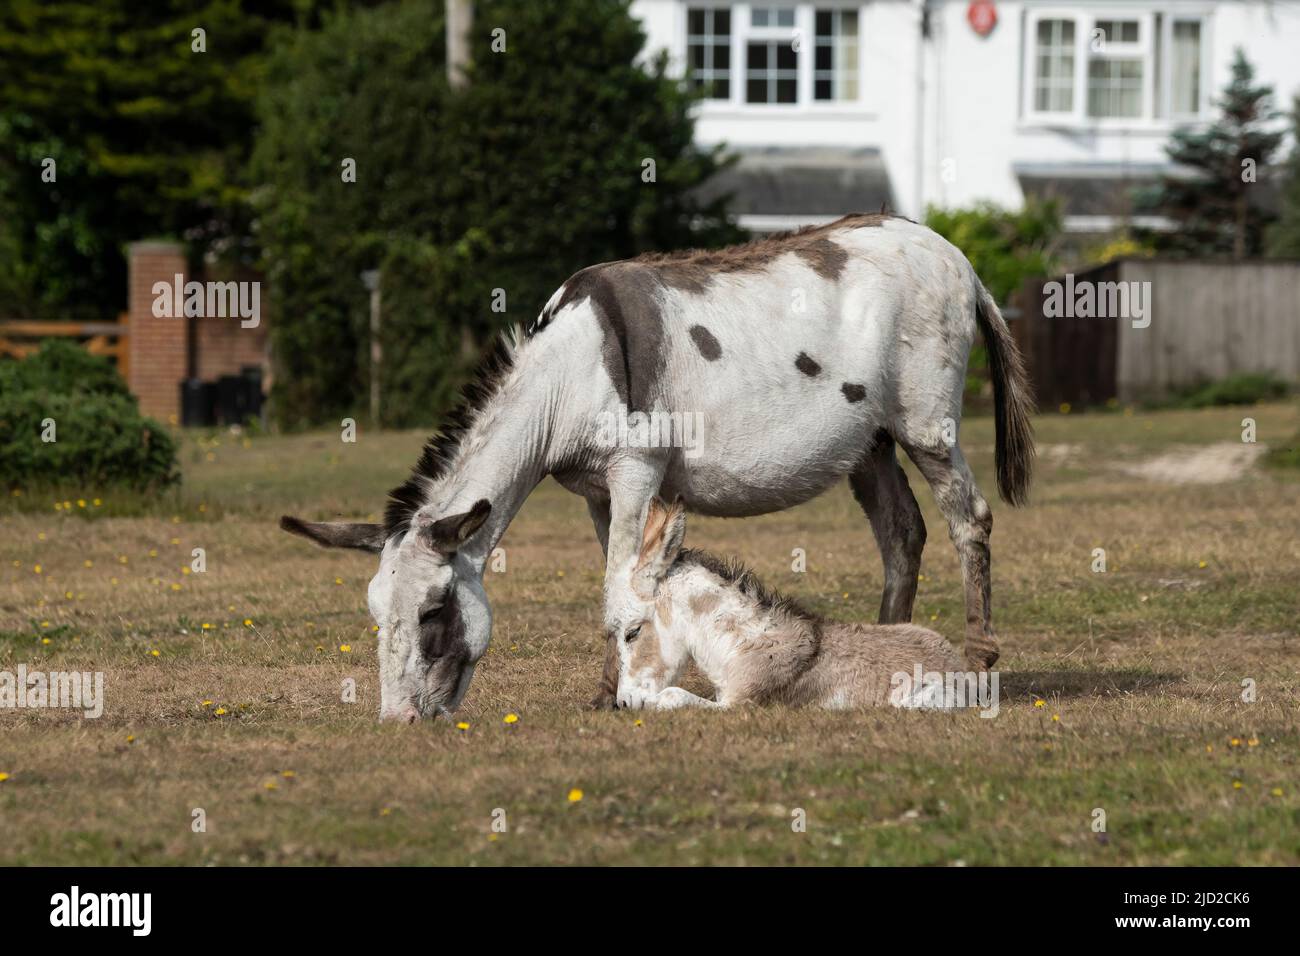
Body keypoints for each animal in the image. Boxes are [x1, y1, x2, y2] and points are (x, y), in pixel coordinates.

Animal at [608, 502, 982, 712]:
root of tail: (959, 663)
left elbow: (672, 696)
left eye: (632, 633)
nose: (623, 703)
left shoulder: (741, 705)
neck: (741, 645)